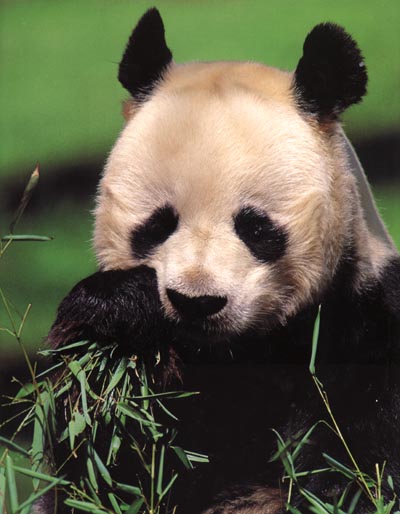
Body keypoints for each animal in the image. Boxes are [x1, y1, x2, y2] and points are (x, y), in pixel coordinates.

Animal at [43, 8, 400, 512]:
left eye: (255, 227)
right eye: (158, 223)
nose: (196, 301)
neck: (231, 351)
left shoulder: (366, 327)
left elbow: (354, 472)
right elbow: (103, 465)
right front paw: (117, 310)